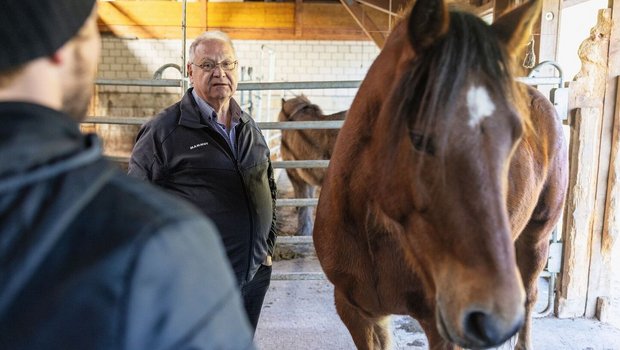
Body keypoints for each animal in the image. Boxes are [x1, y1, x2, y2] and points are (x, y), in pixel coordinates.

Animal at [312, 0, 568, 348]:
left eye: (515, 137)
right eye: (419, 138)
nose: (493, 316)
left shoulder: (442, 326)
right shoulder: (359, 312)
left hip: (536, 239)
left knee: (529, 299)